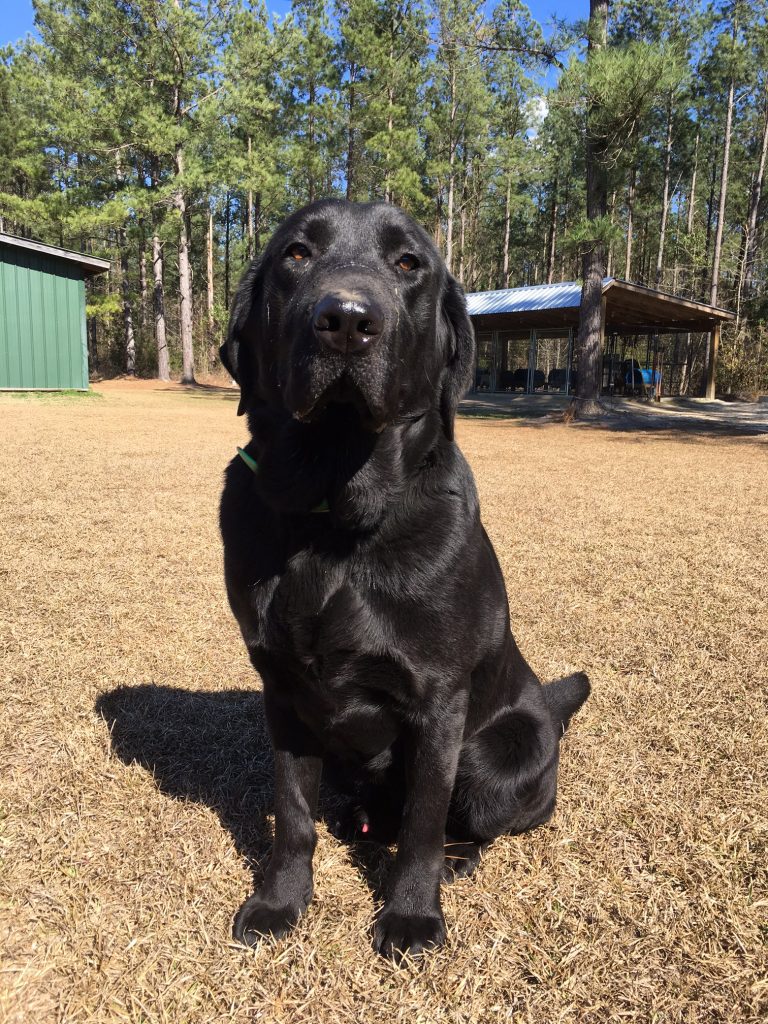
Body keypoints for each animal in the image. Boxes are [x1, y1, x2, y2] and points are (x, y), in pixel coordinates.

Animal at [219, 197, 593, 958]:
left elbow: (424, 821)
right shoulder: (282, 691)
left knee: (473, 821)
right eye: (297, 254)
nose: (346, 319)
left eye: (408, 263)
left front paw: (413, 914)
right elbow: (291, 811)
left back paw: (457, 858)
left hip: (501, 753)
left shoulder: (438, 702)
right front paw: (279, 902)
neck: (334, 517)